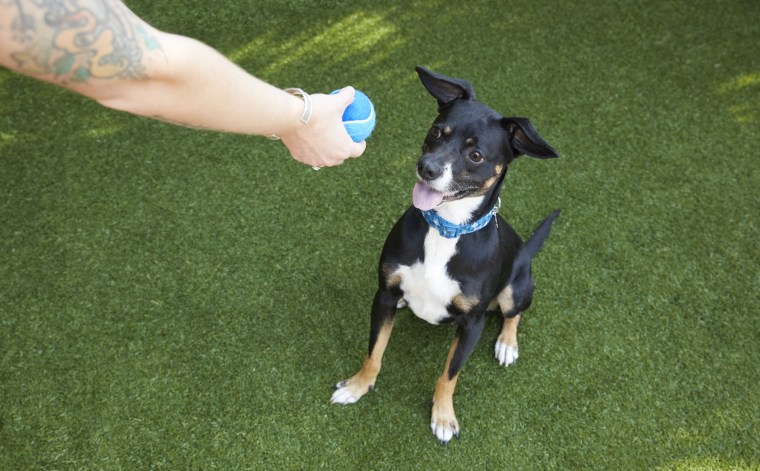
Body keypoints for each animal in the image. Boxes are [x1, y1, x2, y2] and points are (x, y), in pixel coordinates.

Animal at [332, 67, 560, 446]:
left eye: (476, 155)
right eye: (437, 131)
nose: (427, 168)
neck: (446, 229)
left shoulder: (472, 324)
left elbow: (449, 375)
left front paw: (442, 417)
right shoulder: (384, 295)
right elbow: (374, 353)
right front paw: (357, 386)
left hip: (516, 287)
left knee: (513, 313)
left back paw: (507, 343)